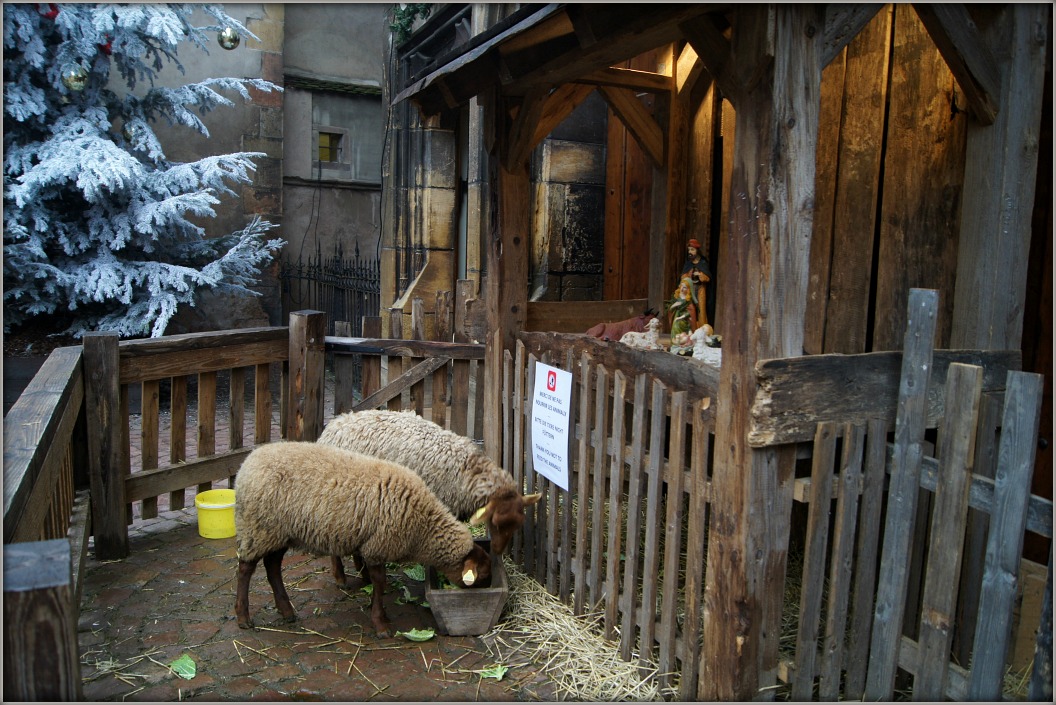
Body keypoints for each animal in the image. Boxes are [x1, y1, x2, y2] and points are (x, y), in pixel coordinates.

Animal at [235, 443, 489, 637]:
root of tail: (247, 464)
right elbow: (380, 582)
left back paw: (286, 611)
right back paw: (243, 617)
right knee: (246, 569)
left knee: (272, 567)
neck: (423, 526)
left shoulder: (375, 545)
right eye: (481, 575)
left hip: (278, 532)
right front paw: (381, 624)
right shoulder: (378, 545)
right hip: (257, 528)